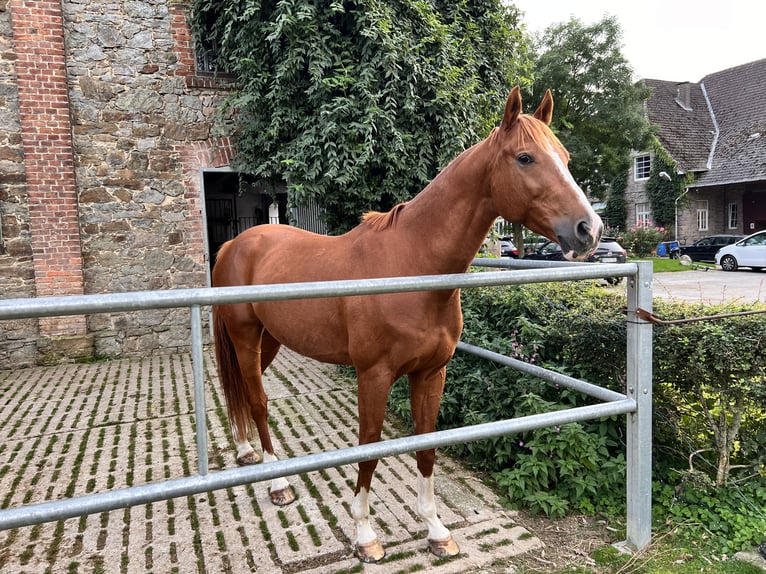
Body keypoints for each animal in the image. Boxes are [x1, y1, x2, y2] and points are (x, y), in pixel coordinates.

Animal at [213, 88, 604, 564]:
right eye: (525, 157)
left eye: (565, 157)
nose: (589, 229)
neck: (412, 266)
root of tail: (236, 243)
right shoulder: (373, 376)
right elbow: (370, 449)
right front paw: (365, 535)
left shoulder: (431, 373)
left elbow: (426, 446)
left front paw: (436, 530)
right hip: (246, 339)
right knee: (258, 402)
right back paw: (278, 482)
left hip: (268, 342)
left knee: (242, 393)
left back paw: (246, 451)